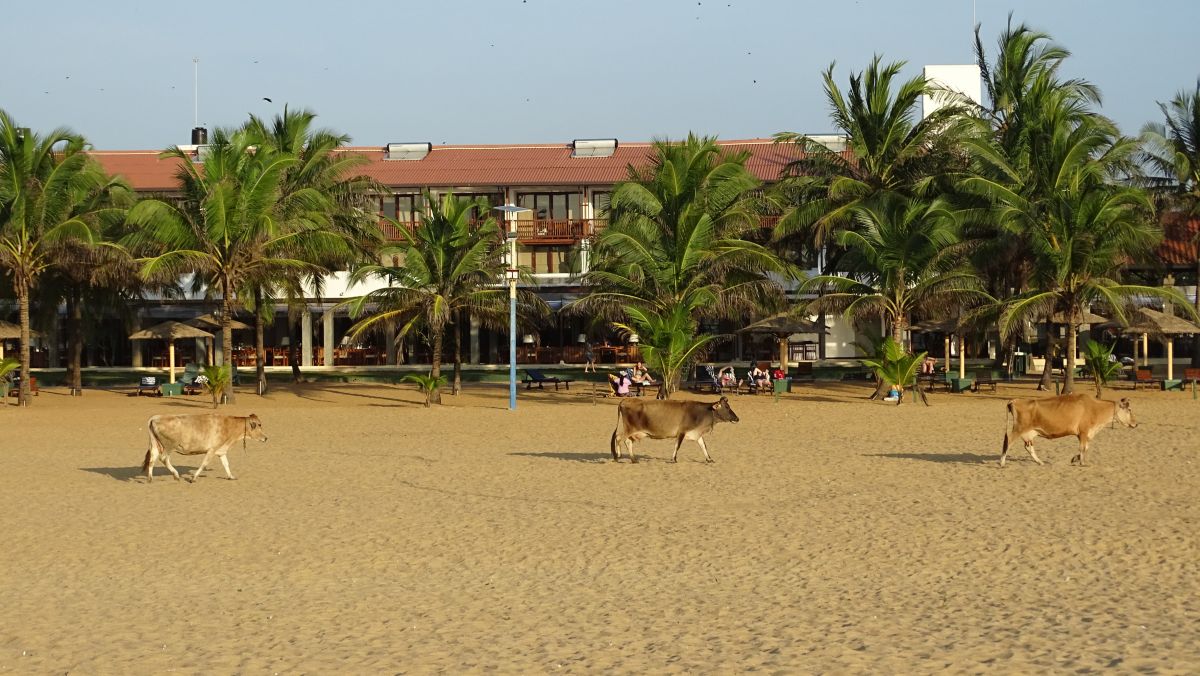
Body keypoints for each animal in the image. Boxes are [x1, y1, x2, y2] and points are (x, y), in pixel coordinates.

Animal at [142, 413, 270, 480]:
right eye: (259, 425)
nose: (266, 438)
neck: (229, 426)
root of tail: (156, 417)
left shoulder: (221, 451)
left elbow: (226, 464)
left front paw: (231, 476)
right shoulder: (212, 450)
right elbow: (204, 464)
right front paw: (194, 478)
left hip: (155, 445)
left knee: (152, 460)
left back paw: (150, 478)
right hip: (169, 446)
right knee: (163, 458)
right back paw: (176, 475)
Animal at [609, 396, 739, 465]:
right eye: (727, 407)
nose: (737, 418)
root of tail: (625, 400)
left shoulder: (697, 434)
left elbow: (703, 446)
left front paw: (709, 459)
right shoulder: (681, 432)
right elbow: (677, 446)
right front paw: (674, 459)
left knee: (627, 441)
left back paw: (633, 459)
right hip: (629, 429)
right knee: (619, 438)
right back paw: (617, 456)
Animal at [998, 393, 1137, 468]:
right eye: (1129, 410)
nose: (1135, 424)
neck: (1094, 408)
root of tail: (1015, 400)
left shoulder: (1084, 434)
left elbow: (1085, 448)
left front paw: (1075, 459)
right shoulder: (1084, 431)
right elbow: (1083, 448)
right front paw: (1082, 462)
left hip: (1029, 433)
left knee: (1028, 447)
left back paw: (1040, 462)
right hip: (1018, 428)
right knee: (1008, 441)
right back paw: (1002, 462)